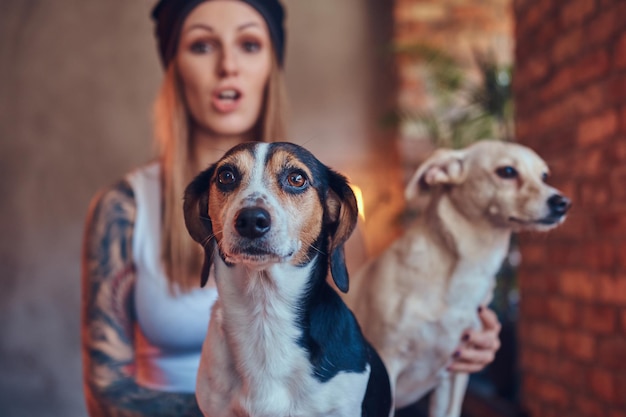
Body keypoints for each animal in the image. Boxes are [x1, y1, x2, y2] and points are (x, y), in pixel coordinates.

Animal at [344, 140, 568, 416]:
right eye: (507, 171)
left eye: (544, 176)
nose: (563, 202)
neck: (466, 270)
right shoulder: (387, 365)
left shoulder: (454, 375)